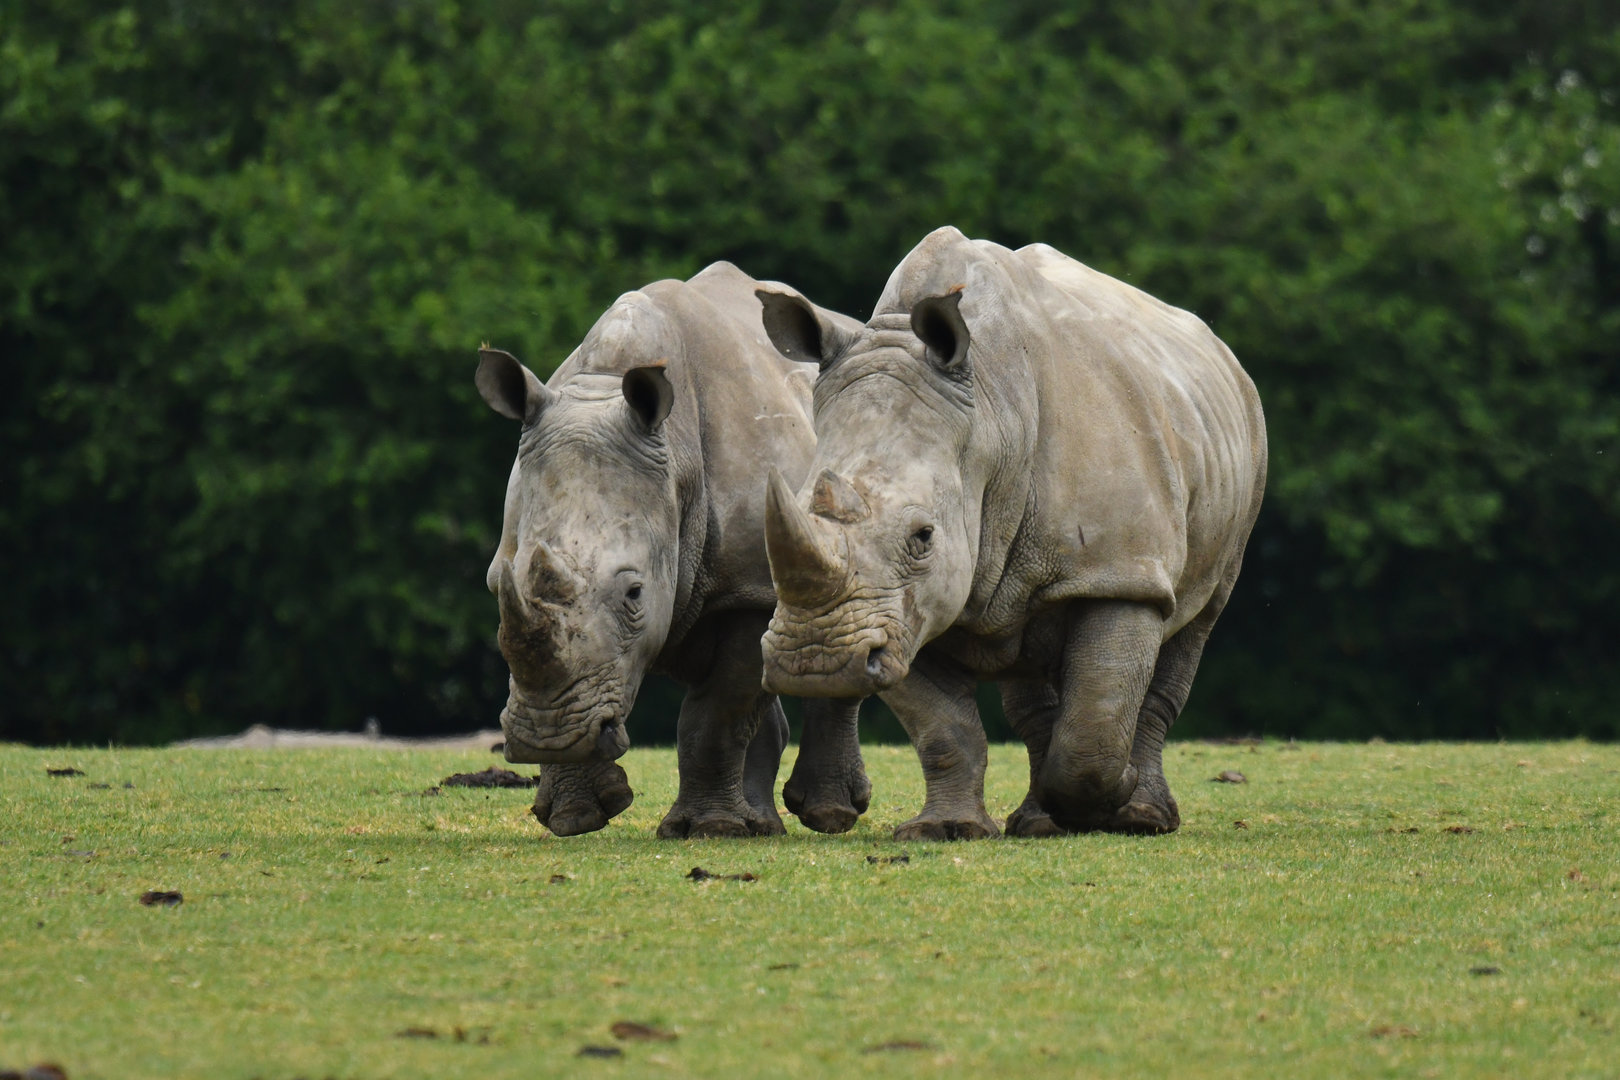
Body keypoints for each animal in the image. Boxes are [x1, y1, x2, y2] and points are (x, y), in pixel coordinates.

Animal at [477, 262, 872, 837]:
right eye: (497, 584)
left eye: (635, 594)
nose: (543, 737)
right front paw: (575, 817)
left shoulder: (750, 585)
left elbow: (717, 714)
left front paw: (706, 829)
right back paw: (762, 826)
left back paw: (825, 816)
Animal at [755, 227, 1267, 839]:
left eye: (923, 536)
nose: (816, 662)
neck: (991, 420)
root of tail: (1225, 357)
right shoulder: (901, 611)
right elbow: (943, 731)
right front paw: (946, 830)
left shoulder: (1120, 570)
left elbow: (1097, 719)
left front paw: (1113, 799)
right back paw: (1038, 822)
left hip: (1243, 453)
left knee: (1195, 621)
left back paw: (1140, 817)